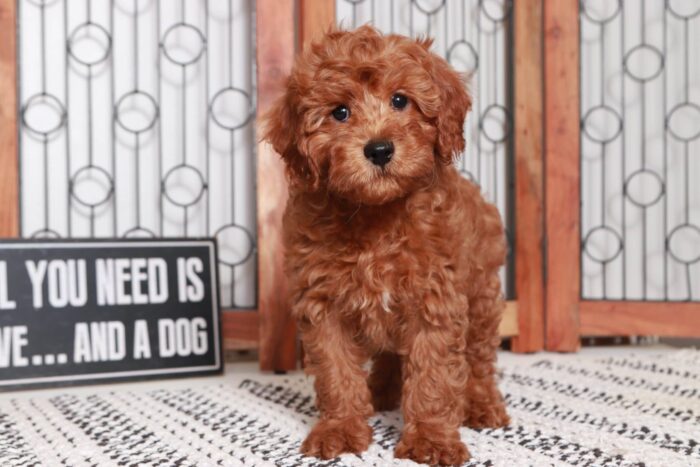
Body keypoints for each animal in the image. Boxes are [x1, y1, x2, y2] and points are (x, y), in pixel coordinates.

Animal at [262, 26, 508, 467]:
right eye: (340, 112)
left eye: (400, 100)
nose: (378, 149)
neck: (376, 215)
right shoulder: (322, 304)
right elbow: (336, 372)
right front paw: (341, 428)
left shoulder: (435, 299)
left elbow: (434, 375)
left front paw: (430, 439)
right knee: (394, 356)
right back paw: (380, 392)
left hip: (481, 295)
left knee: (479, 359)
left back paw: (481, 405)